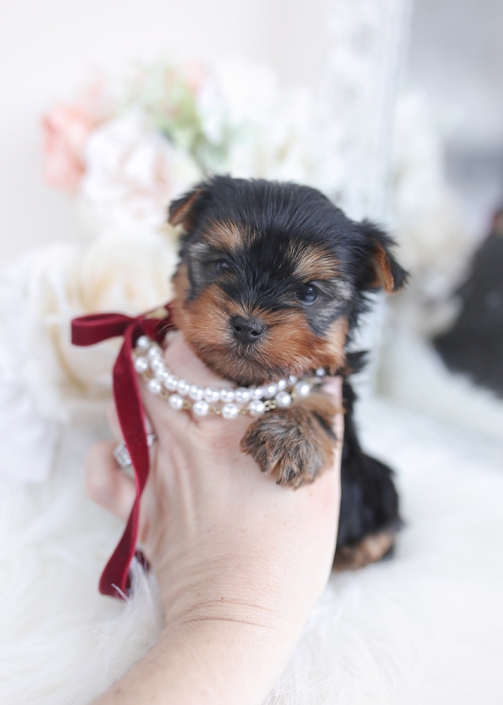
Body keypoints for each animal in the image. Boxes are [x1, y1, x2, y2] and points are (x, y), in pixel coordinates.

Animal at [169, 175, 410, 568]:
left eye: (308, 293)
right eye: (221, 266)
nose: (247, 326)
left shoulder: (339, 378)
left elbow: (316, 389)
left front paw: (292, 437)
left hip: (380, 486)